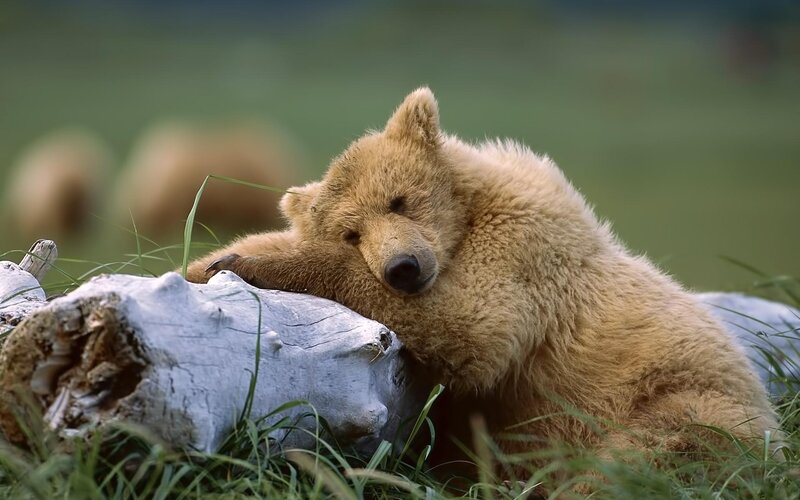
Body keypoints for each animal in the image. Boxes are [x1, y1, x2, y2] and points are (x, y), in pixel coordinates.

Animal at [185, 88, 778, 484]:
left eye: (399, 200)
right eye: (352, 231)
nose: (402, 268)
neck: (467, 217)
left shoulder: (524, 251)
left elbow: (472, 326)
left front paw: (254, 264)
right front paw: (211, 261)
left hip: (687, 399)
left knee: (642, 457)